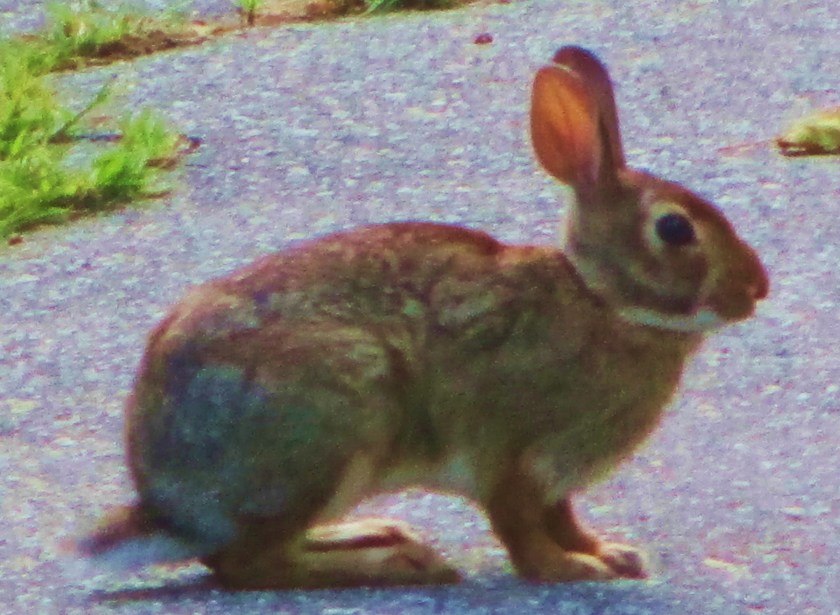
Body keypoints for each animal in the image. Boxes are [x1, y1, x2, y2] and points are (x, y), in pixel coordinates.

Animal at [75, 46, 768, 589]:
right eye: (674, 229)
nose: (756, 289)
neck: (601, 301)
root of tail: (166, 504)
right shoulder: (511, 454)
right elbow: (521, 528)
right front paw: (573, 570)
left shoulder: (555, 475)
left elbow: (564, 517)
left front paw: (611, 553)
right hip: (336, 421)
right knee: (246, 564)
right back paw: (397, 566)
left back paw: (381, 535)